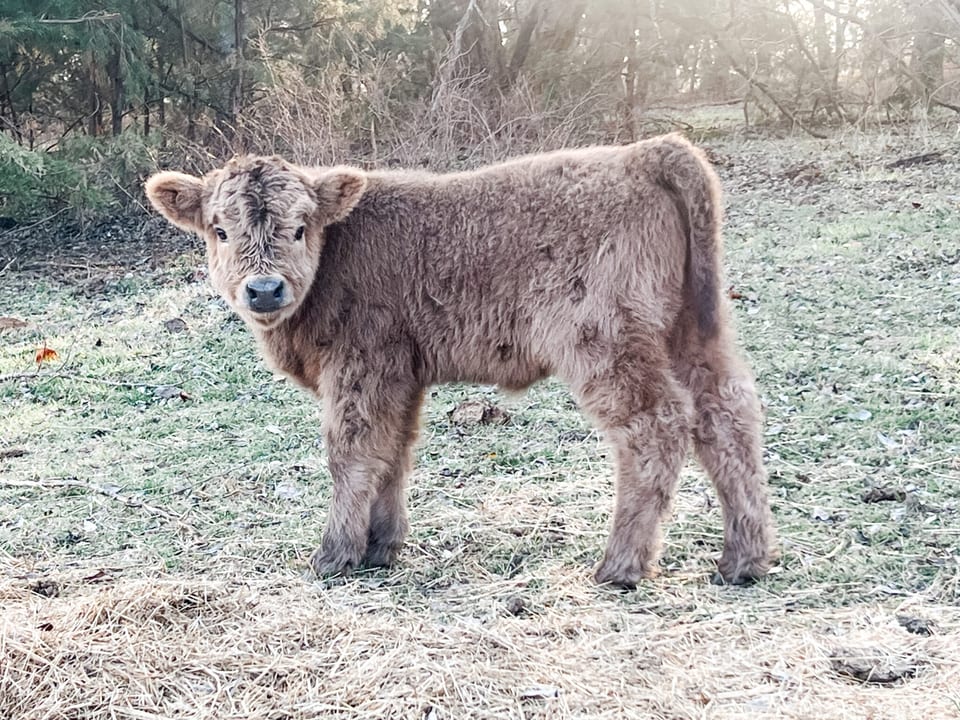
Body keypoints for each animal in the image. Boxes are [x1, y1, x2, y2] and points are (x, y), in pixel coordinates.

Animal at [145, 134, 776, 588]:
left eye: (300, 228)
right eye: (220, 231)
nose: (265, 290)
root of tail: (644, 152)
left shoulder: (362, 365)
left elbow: (352, 454)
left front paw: (336, 554)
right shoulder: (400, 375)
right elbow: (393, 454)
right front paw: (381, 547)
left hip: (604, 338)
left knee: (657, 424)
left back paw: (619, 567)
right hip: (693, 330)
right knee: (728, 415)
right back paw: (744, 560)